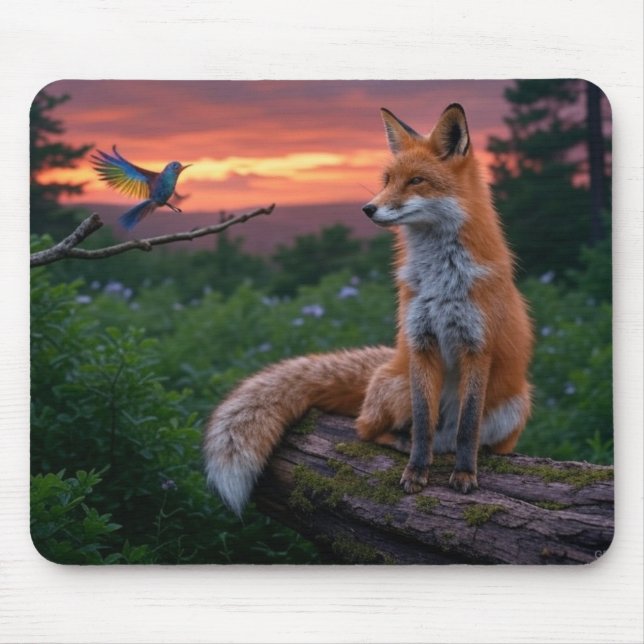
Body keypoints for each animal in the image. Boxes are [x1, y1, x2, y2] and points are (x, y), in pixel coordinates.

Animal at [203, 103, 533, 515]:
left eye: (416, 181)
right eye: (387, 179)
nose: (368, 208)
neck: (442, 280)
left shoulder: (477, 346)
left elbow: (468, 427)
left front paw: (465, 473)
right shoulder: (421, 342)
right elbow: (422, 422)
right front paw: (415, 472)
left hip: (514, 406)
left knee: (468, 438)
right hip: (398, 384)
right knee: (368, 428)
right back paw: (401, 443)